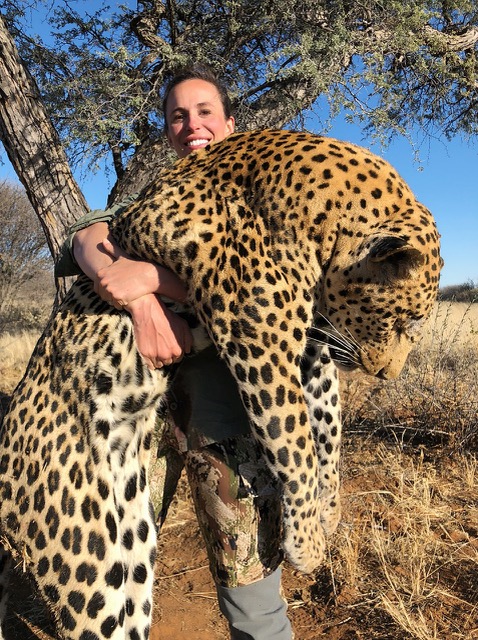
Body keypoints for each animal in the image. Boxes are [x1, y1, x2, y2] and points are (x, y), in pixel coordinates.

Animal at [0, 127, 440, 636]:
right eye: (404, 323)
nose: (387, 374)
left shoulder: (310, 344)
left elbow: (326, 425)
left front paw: (328, 510)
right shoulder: (257, 332)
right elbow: (294, 442)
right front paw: (307, 544)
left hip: (132, 544)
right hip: (83, 558)